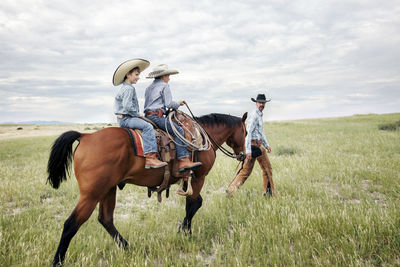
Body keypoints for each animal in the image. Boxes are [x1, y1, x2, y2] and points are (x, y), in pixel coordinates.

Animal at [47, 112, 247, 266]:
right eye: (245, 132)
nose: (244, 155)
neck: (201, 136)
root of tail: (85, 136)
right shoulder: (199, 177)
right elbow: (193, 204)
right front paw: (186, 232)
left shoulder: (189, 180)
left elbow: (194, 203)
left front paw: (183, 230)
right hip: (92, 194)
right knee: (72, 224)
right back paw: (58, 261)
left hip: (109, 189)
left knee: (106, 219)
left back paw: (127, 247)